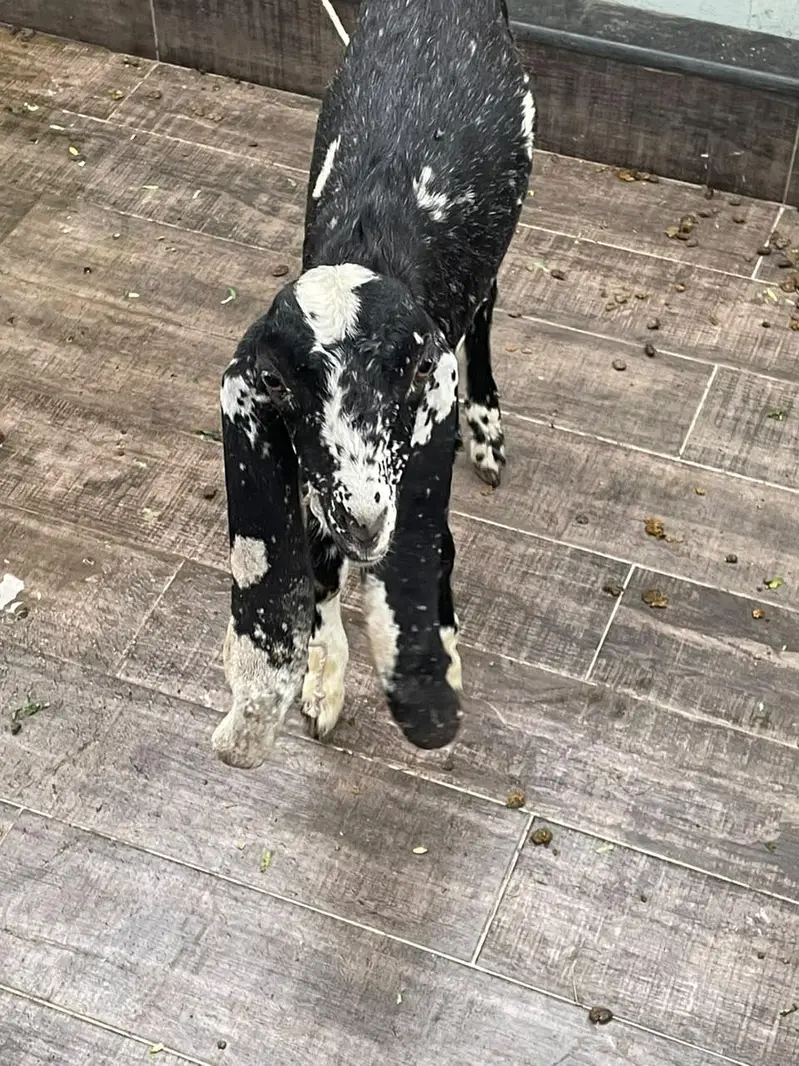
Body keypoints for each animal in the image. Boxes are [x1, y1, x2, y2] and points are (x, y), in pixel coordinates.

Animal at [212, 0, 534, 768]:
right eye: (274, 380)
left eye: (416, 370)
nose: (363, 520)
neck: (368, 242)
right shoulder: (312, 480)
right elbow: (319, 572)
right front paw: (323, 686)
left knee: (488, 303)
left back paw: (486, 429)